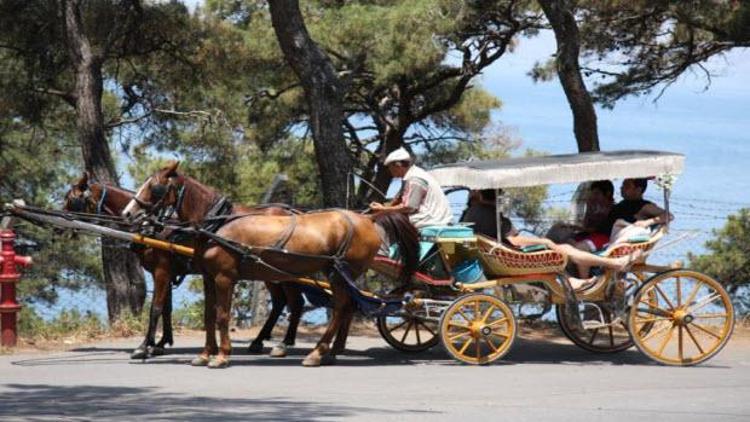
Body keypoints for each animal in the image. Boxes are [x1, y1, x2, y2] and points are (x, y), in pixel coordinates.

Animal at [122, 163, 418, 368]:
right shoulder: (208, 277)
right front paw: (205, 354)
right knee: (344, 307)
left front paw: (222, 356)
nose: (128, 213)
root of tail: (368, 220)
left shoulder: (224, 277)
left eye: (155, 187)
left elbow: (222, 316)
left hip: (339, 272)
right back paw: (330, 352)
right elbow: (208, 316)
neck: (218, 224)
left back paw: (317, 352)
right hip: (333, 273)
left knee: (340, 308)